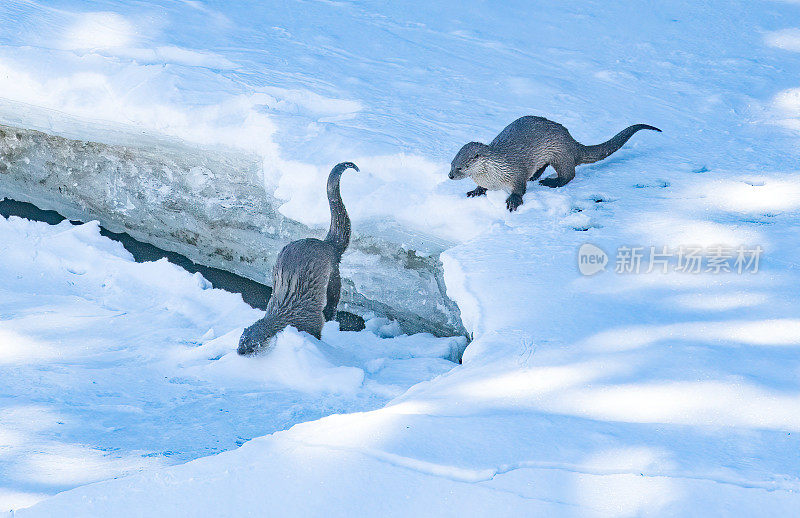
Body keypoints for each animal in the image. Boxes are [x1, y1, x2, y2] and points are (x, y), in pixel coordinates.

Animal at [238, 162, 360, 358]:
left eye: (252, 346)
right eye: (240, 341)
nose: (239, 352)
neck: (286, 316)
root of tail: (328, 245)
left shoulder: (310, 322)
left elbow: (316, 332)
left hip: (333, 271)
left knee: (334, 297)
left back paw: (330, 315)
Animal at [446, 117, 660, 210]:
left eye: (461, 166)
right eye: (451, 164)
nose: (450, 175)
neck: (494, 174)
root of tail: (571, 141)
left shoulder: (516, 172)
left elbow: (520, 189)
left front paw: (513, 201)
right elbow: (481, 187)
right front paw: (475, 191)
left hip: (560, 154)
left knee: (569, 174)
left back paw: (550, 182)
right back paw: (536, 176)